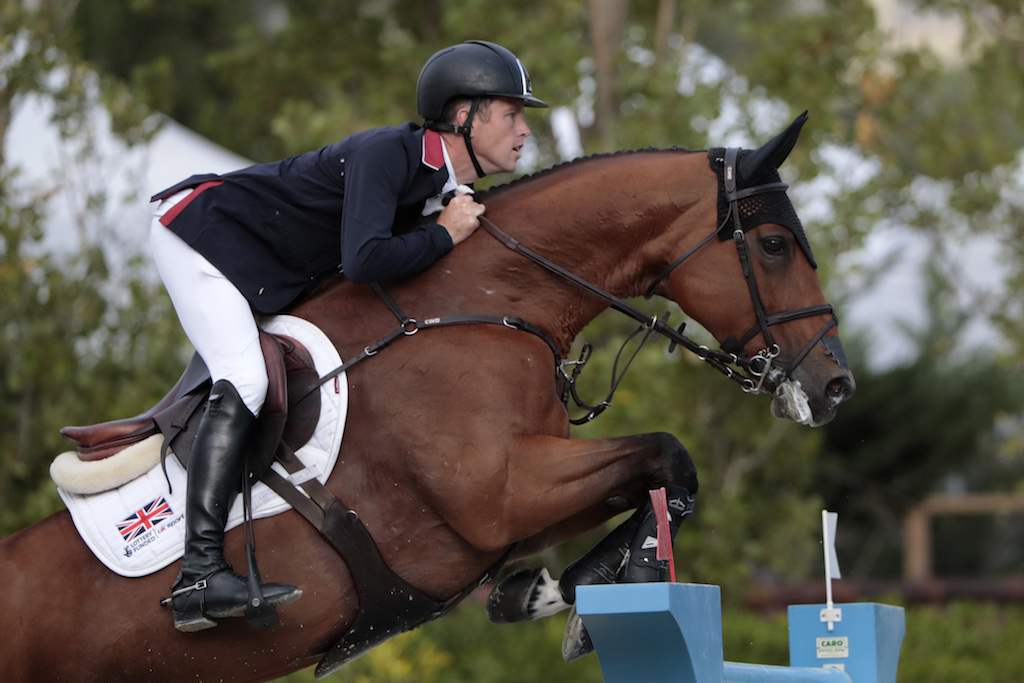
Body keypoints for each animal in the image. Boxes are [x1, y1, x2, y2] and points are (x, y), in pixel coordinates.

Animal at [0, 112, 847, 679]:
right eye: (775, 245)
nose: (835, 385)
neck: (491, 301)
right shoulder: (499, 494)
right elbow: (667, 454)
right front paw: (601, 589)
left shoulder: (513, 510)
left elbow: (658, 476)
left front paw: (548, 593)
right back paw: (213, 591)